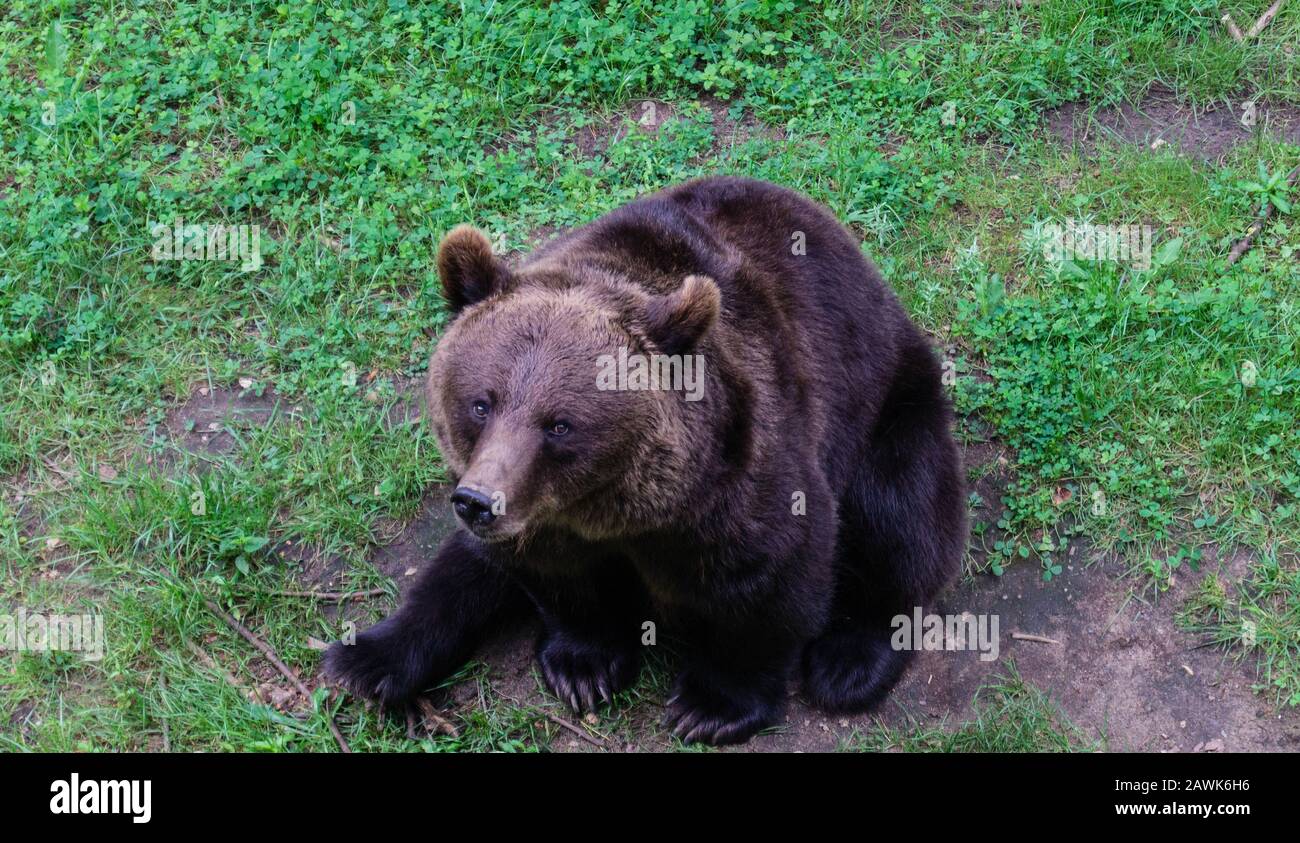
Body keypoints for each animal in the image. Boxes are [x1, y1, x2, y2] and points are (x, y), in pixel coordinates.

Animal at [327, 175, 967, 744]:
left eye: (560, 424)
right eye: (482, 403)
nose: (481, 502)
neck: (618, 509)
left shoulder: (739, 465)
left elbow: (772, 573)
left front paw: (710, 707)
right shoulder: (545, 519)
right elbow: (556, 581)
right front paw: (584, 667)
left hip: (889, 410)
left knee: (899, 517)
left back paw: (849, 661)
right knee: (461, 568)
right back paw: (368, 661)